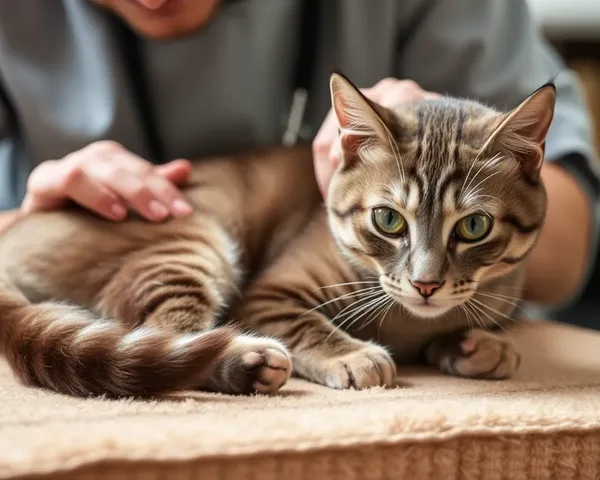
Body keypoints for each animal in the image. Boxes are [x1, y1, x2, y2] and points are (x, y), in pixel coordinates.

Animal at [0, 73, 556, 398]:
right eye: (388, 220)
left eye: (474, 226)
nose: (426, 285)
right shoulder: (267, 296)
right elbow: (307, 324)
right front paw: (351, 353)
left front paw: (478, 343)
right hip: (191, 241)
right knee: (172, 338)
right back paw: (245, 361)